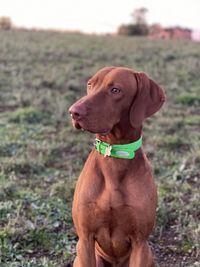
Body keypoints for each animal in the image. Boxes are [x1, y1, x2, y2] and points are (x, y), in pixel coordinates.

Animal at [69, 67, 166, 267]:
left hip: (148, 254)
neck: (114, 158)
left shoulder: (139, 242)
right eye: (90, 85)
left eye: (115, 90)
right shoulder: (85, 240)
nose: (74, 112)